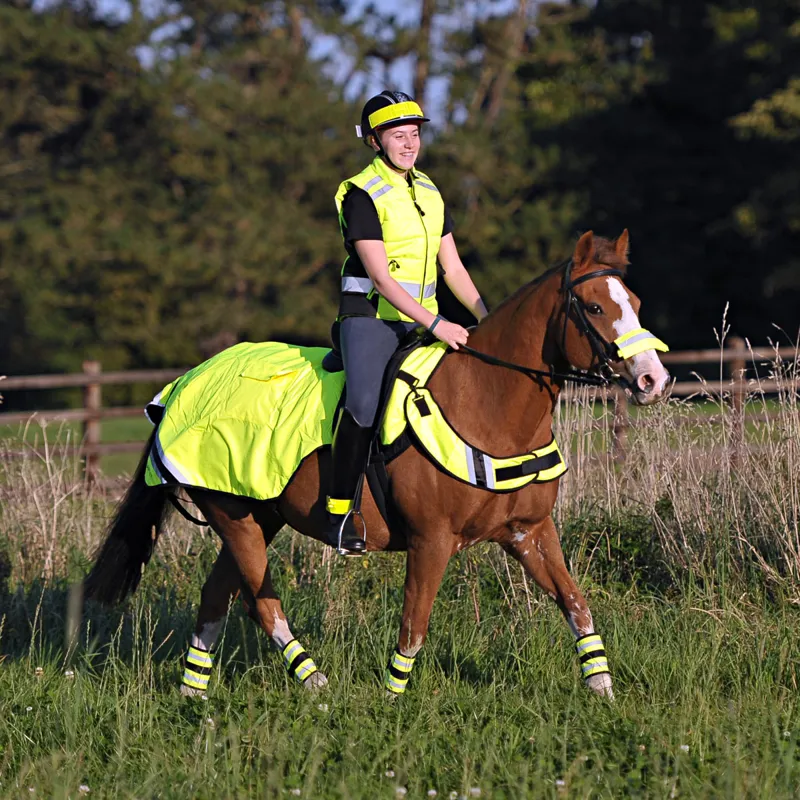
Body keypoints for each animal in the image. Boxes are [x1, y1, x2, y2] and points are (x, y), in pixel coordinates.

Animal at [84, 230, 670, 699]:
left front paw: (602, 687)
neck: (485, 404)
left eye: (637, 300)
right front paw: (393, 701)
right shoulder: (432, 541)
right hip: (234, 518)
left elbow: (575, 602)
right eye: (593, 308)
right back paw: (315, 682)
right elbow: (415, 623)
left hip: (257, 516)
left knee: (217, 596)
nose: (652, 379)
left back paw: (193, 693)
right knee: (261, 603)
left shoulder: (529, 531)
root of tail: (185, 383)